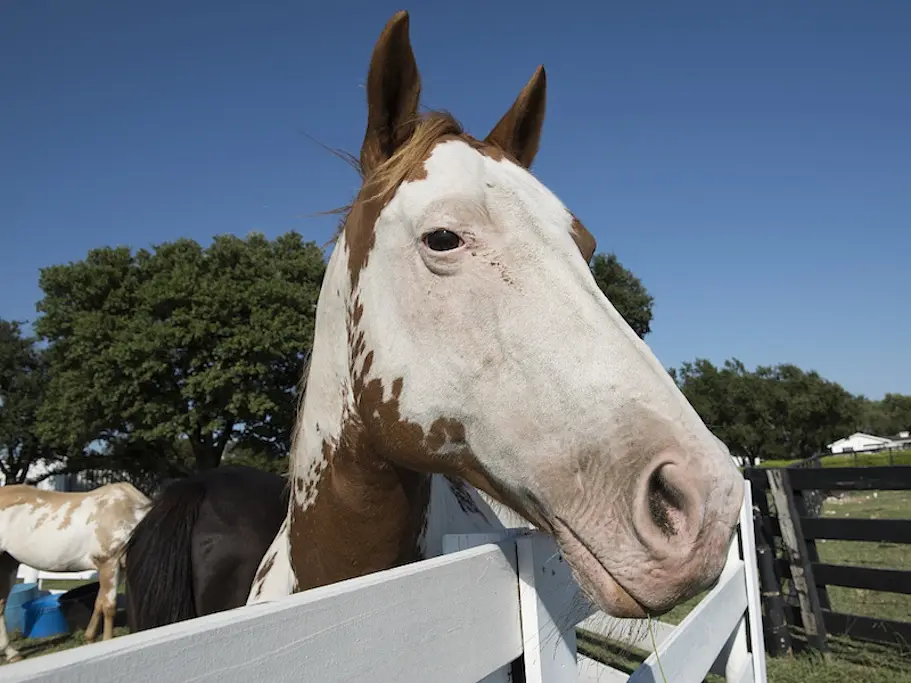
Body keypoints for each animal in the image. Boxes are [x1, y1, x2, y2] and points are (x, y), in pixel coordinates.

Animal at [0, 480, 150, 664]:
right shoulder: (109, 563)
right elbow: (109, 607)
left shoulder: (116, 569)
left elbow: (99, 603)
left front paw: (90, 638)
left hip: (8, 562)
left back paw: (11, 653)